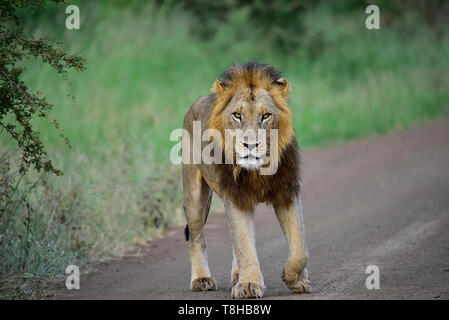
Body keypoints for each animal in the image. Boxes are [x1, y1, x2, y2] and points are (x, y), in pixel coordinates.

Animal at [180, 62, 310, 298]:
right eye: (237, 115)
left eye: (266, 116)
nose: (250, 145)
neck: (258, 170)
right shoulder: (235, 197)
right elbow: (243, 243)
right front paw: (248, 284)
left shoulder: (287, 193)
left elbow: (299, 245)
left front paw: (295, 279)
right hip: (194, 195)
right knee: (196, 238)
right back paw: (202, 279)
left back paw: (236, 276)